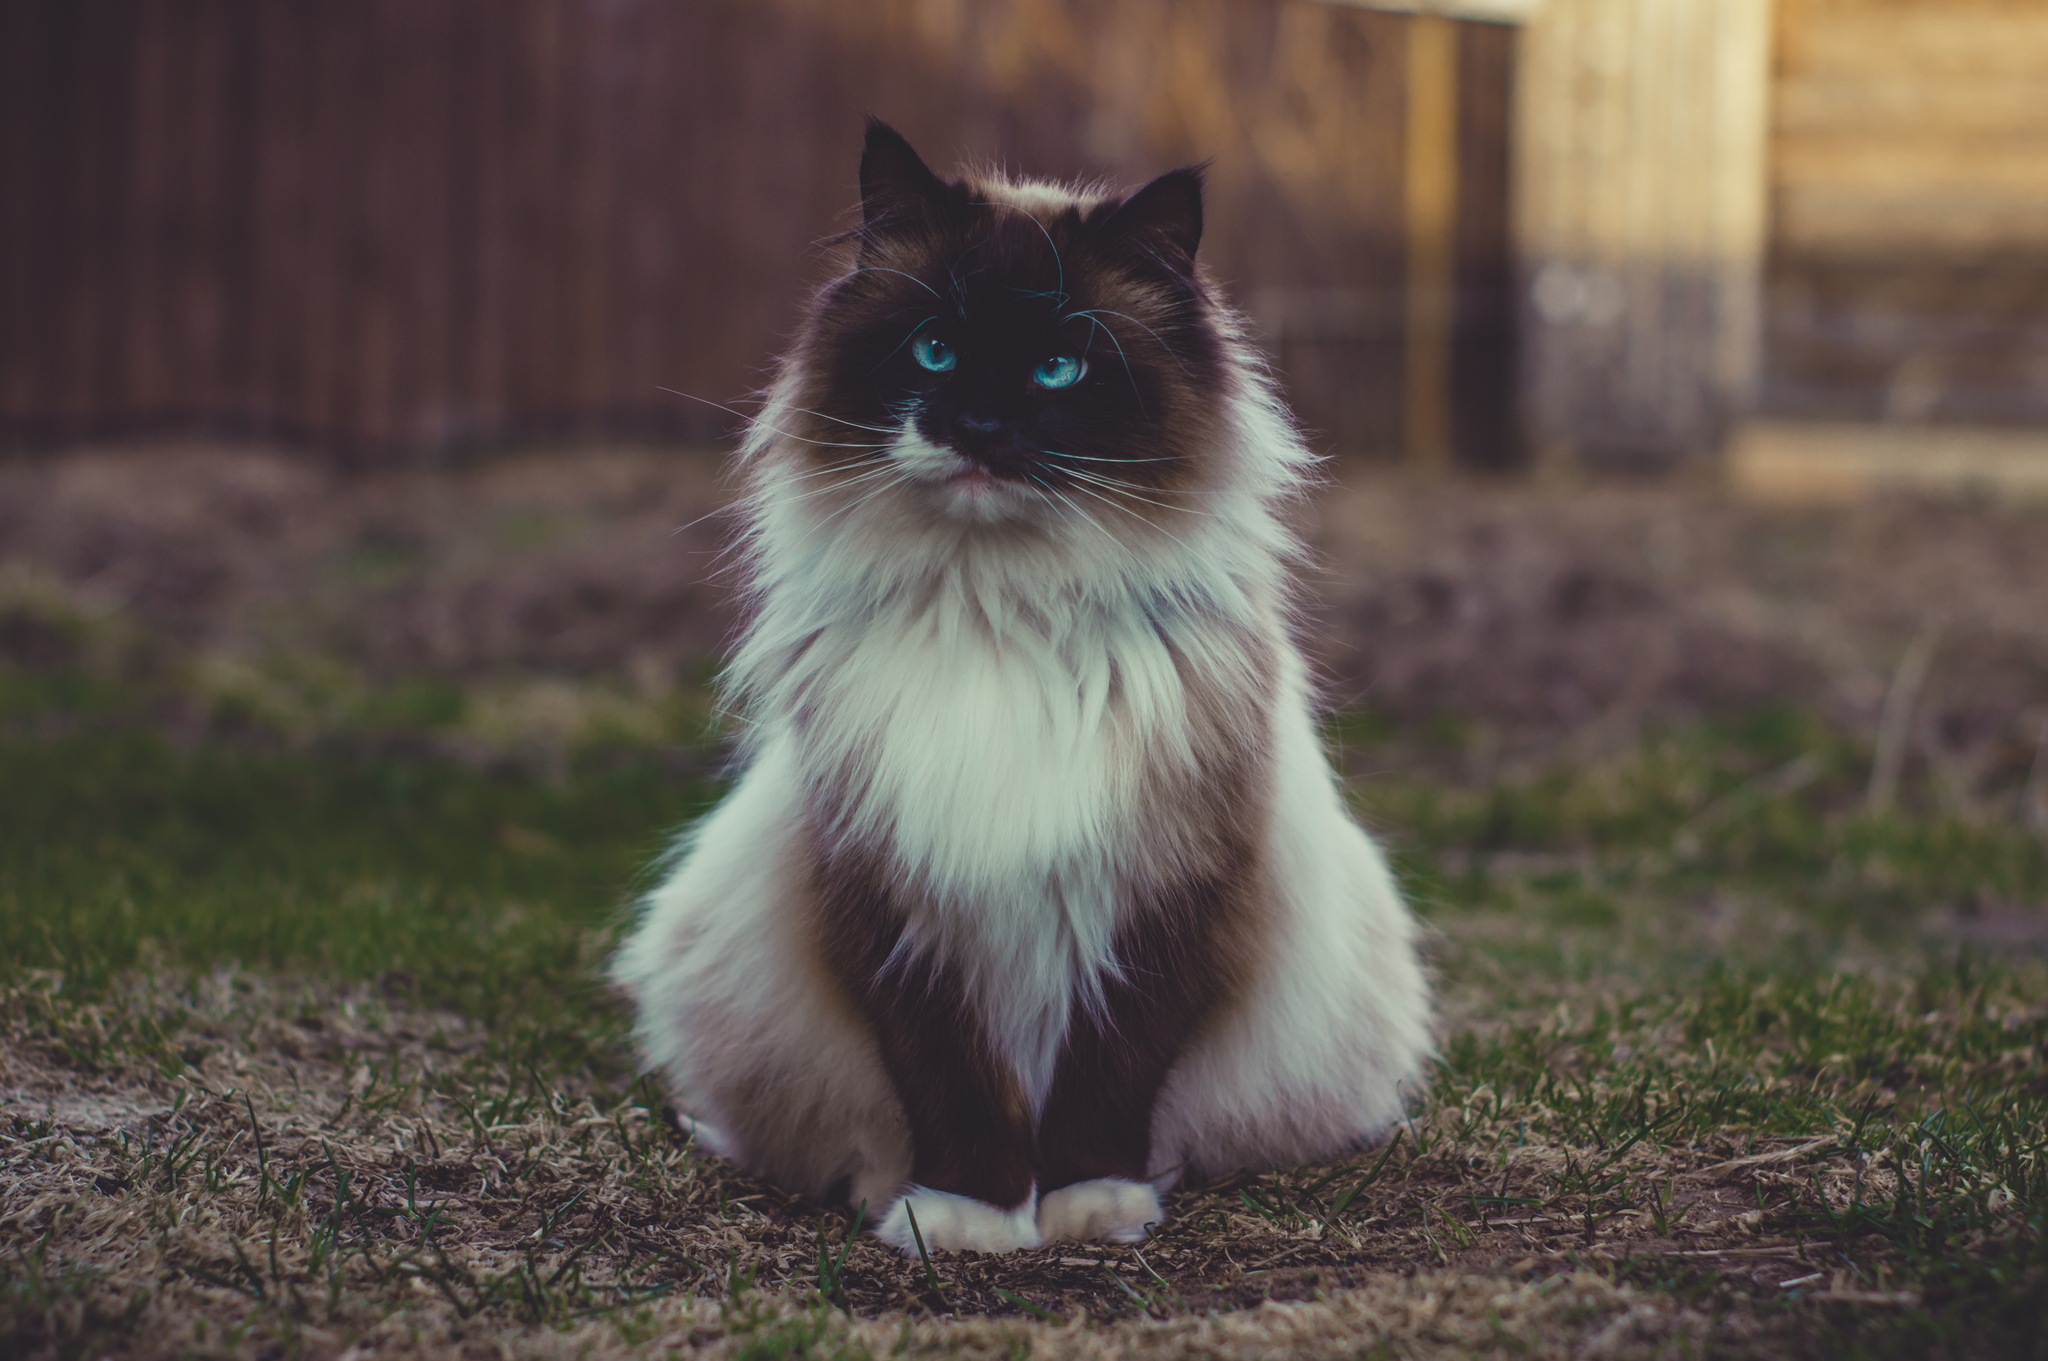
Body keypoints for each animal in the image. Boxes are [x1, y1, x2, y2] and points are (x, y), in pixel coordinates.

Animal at [614, 119, 1433, 1252]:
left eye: (1056, 369)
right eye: (935, 351)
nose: (973, 425)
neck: (1002, 611)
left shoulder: (1161, 896)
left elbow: (1107, 1081)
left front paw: (1089, 1209)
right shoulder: (897, 904)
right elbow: (955, 1087)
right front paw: (966, 1218)